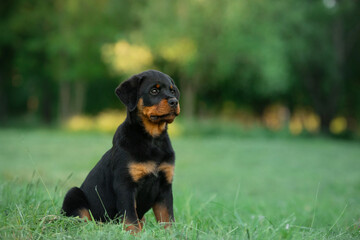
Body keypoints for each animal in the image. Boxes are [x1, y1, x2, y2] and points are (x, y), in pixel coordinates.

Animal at [62, 70, 181, 232]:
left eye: (172, 91)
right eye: (154, 91)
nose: (174, 101)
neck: (153, 139)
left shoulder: (165, 186)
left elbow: (167, 217)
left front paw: (171, 233)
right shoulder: (125, 185)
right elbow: (130, 217)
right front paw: (135, 234)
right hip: (73, 194)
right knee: (84, 218)